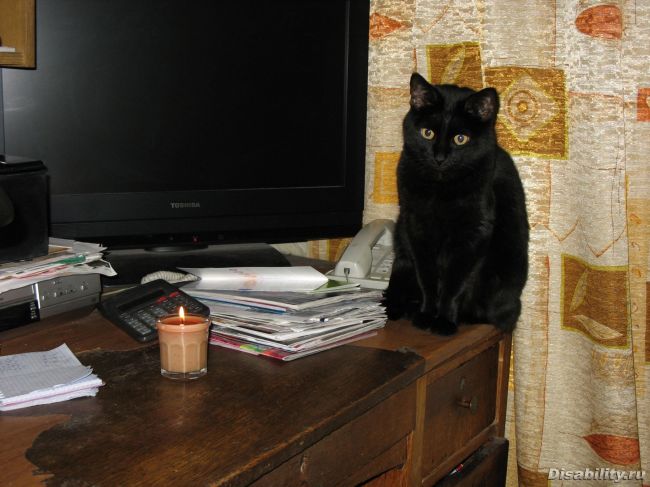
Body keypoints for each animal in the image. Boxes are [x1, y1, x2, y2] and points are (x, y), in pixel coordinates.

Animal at [382, 73, 529, 335]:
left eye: (461, 139)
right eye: (427, 133)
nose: (439, 157)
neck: (440, 188)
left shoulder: (473, 233)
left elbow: (455, 283)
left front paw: (444, 321)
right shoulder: (416, 227)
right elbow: (427, 276)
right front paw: (426, 315)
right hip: (401, 249)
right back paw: (399, 306)